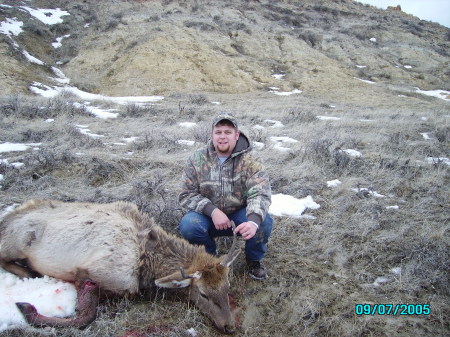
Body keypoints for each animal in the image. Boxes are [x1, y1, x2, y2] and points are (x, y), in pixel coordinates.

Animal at [0, 198, 243, 332]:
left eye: (227, 287)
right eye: (203, 294)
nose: (229, 326)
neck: (146, 261)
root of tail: (6, 220)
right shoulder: (92, 273)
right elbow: (85, 316)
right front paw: (26, 308)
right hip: (17, 241)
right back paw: (28, 271)